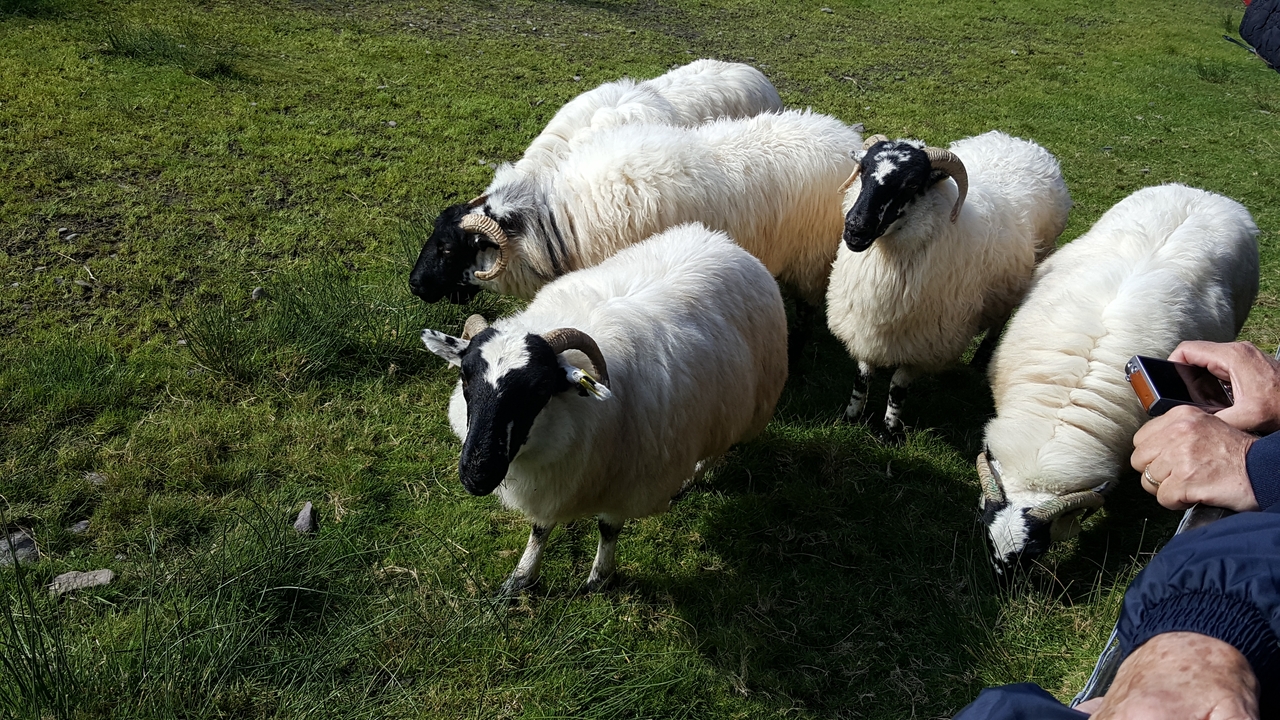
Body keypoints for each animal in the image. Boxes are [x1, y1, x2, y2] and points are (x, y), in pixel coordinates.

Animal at [419, 223, 788, 593]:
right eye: (465, 377)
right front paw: (520, 578)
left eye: (540, 388)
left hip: (742, 405)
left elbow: (608, 529)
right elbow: (540, 528)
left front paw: (599, 579)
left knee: (717, 445)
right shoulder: (552, 480)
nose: (477, 476)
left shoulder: (628, 479)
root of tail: (723, 242)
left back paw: (692, 476)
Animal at [824, 131, 1071, 437]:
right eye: (863, 171)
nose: (856, 230)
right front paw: (850, 417)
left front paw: (890, 431)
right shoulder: (862, 324)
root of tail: (1022, 143)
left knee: (999, 322)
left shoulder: (925, 342)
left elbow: (898, 387)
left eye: (912, 184)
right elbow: (862, 377)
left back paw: (980, 360)